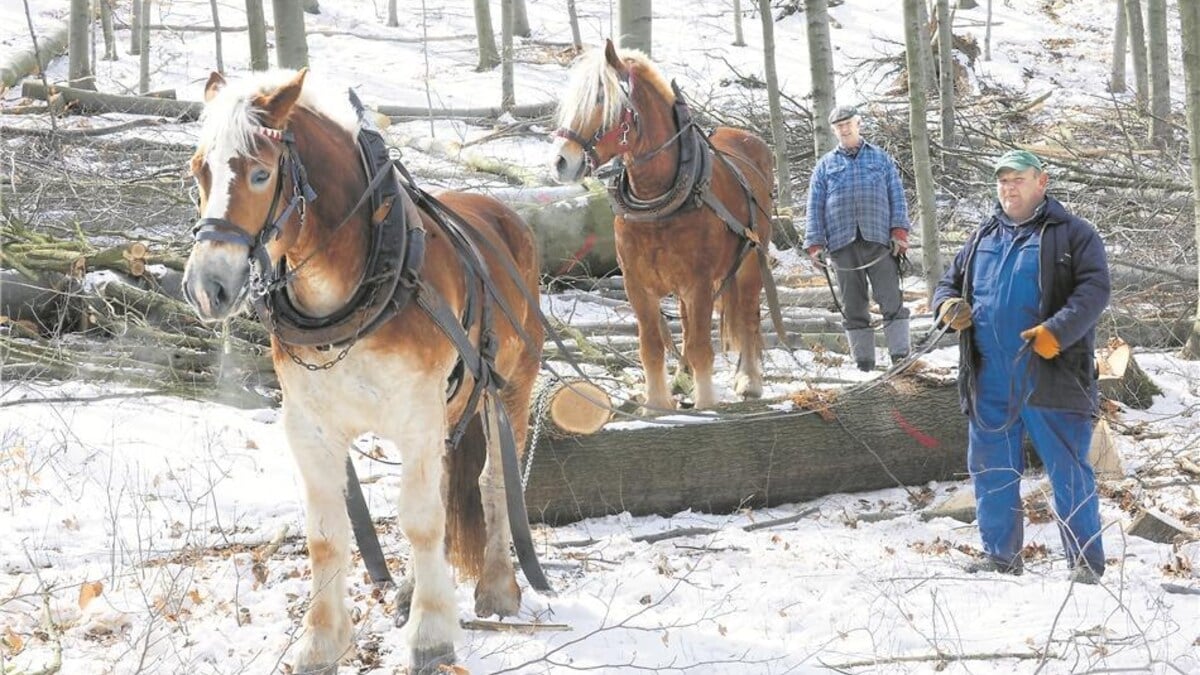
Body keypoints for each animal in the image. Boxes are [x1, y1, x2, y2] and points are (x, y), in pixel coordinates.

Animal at [182, 70, 544, 667]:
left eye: (260, 173)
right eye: (199, 170)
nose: (206, 287)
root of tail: (505, 216)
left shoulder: (416, 415)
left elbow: (422, 519)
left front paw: (431, 634)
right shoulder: (310, 426)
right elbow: (327, 533)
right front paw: (321, 641)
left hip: (508, 387)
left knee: (493, 481)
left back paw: (497, 586)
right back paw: (413, 589)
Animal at [552, 42, 777, 410]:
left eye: (601, 98)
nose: (561, 161)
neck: (658, 199)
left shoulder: (699, 283)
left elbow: (701, 346)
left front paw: (705, 403)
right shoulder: (637, 284)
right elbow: (652, 346)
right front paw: (657, 403)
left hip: (749, 263)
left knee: (748, 314)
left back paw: (748, 380)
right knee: (686, 325)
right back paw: (682, 380)